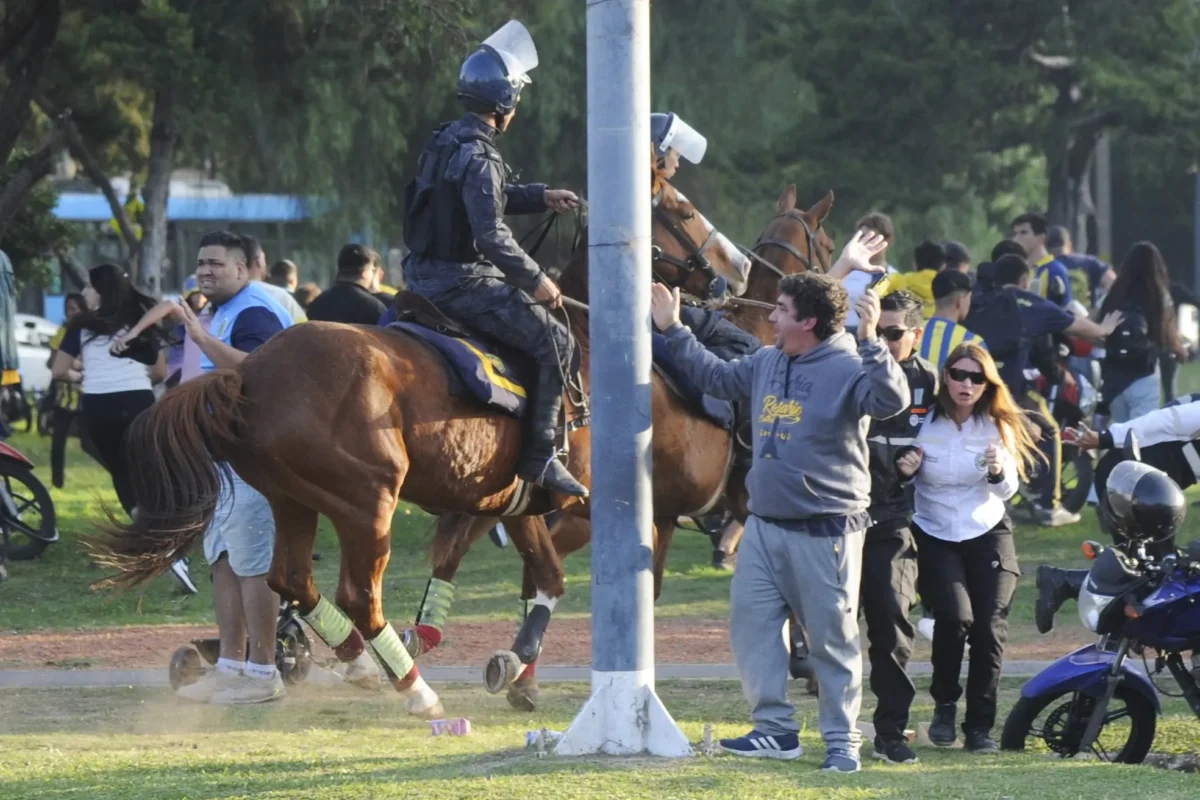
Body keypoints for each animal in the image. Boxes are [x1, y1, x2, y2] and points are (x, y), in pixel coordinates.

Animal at [93, 169, 748, 719]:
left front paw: (510, 667)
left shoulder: (512, 504)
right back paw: (413, 689)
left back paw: (358, 660)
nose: (734, 271)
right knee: (358, 595)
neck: (589, 342)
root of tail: (249, 373)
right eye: (684, 211)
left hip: (293, 500)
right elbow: (553, 580)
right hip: (367, 504)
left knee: (291, 582)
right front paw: (514, 664)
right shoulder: (573, 503)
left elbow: (535, 576)